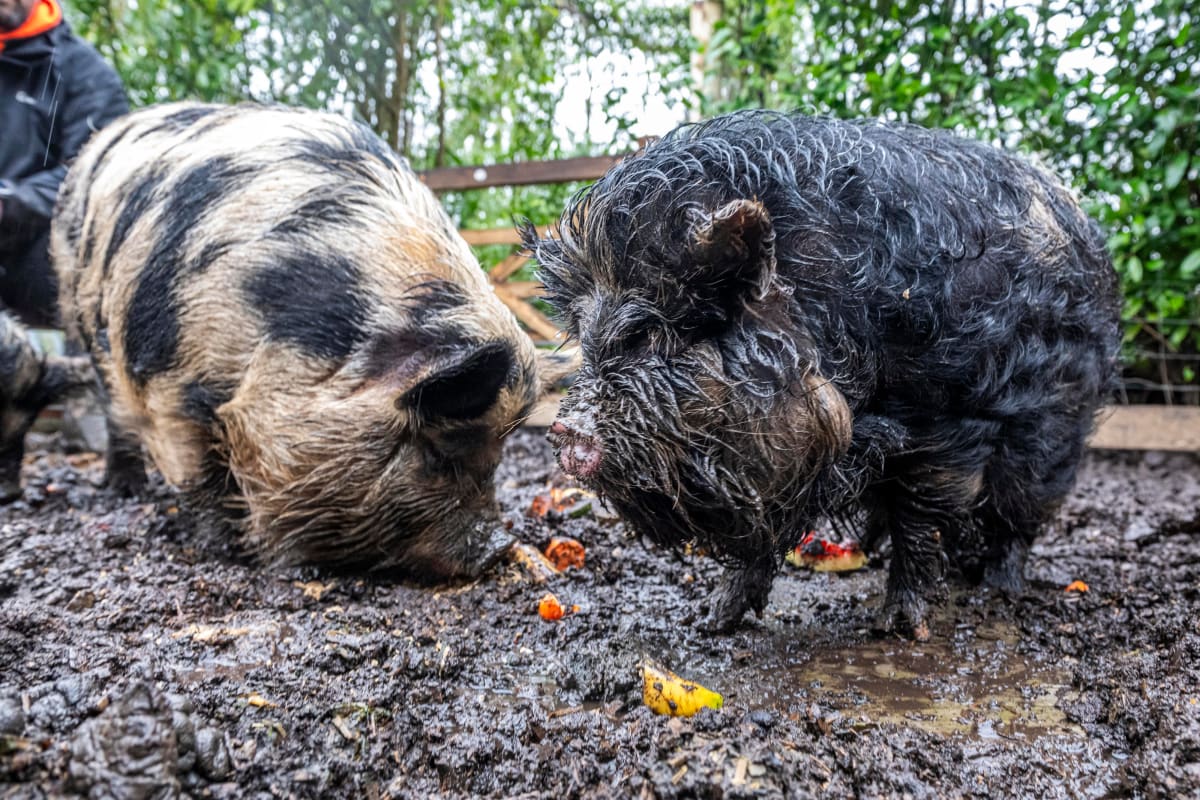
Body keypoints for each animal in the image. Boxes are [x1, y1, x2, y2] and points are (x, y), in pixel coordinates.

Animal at [51, 101, 568, 576]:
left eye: (499, 454)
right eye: (438, 451)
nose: (497, 546)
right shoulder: (167, 380)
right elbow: (197, 471)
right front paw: (226, 553)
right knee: (114, 410)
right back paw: (126, 489)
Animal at [525, 110, 1121, 638]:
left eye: (648, 334)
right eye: (588, 338)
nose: (564, 430)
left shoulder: (949, 418)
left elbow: (922, 514)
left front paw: (899, 629)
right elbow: (764, 537)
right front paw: (709, 623)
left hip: (1052, 429)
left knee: (1019, 511)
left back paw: (1000, 587)